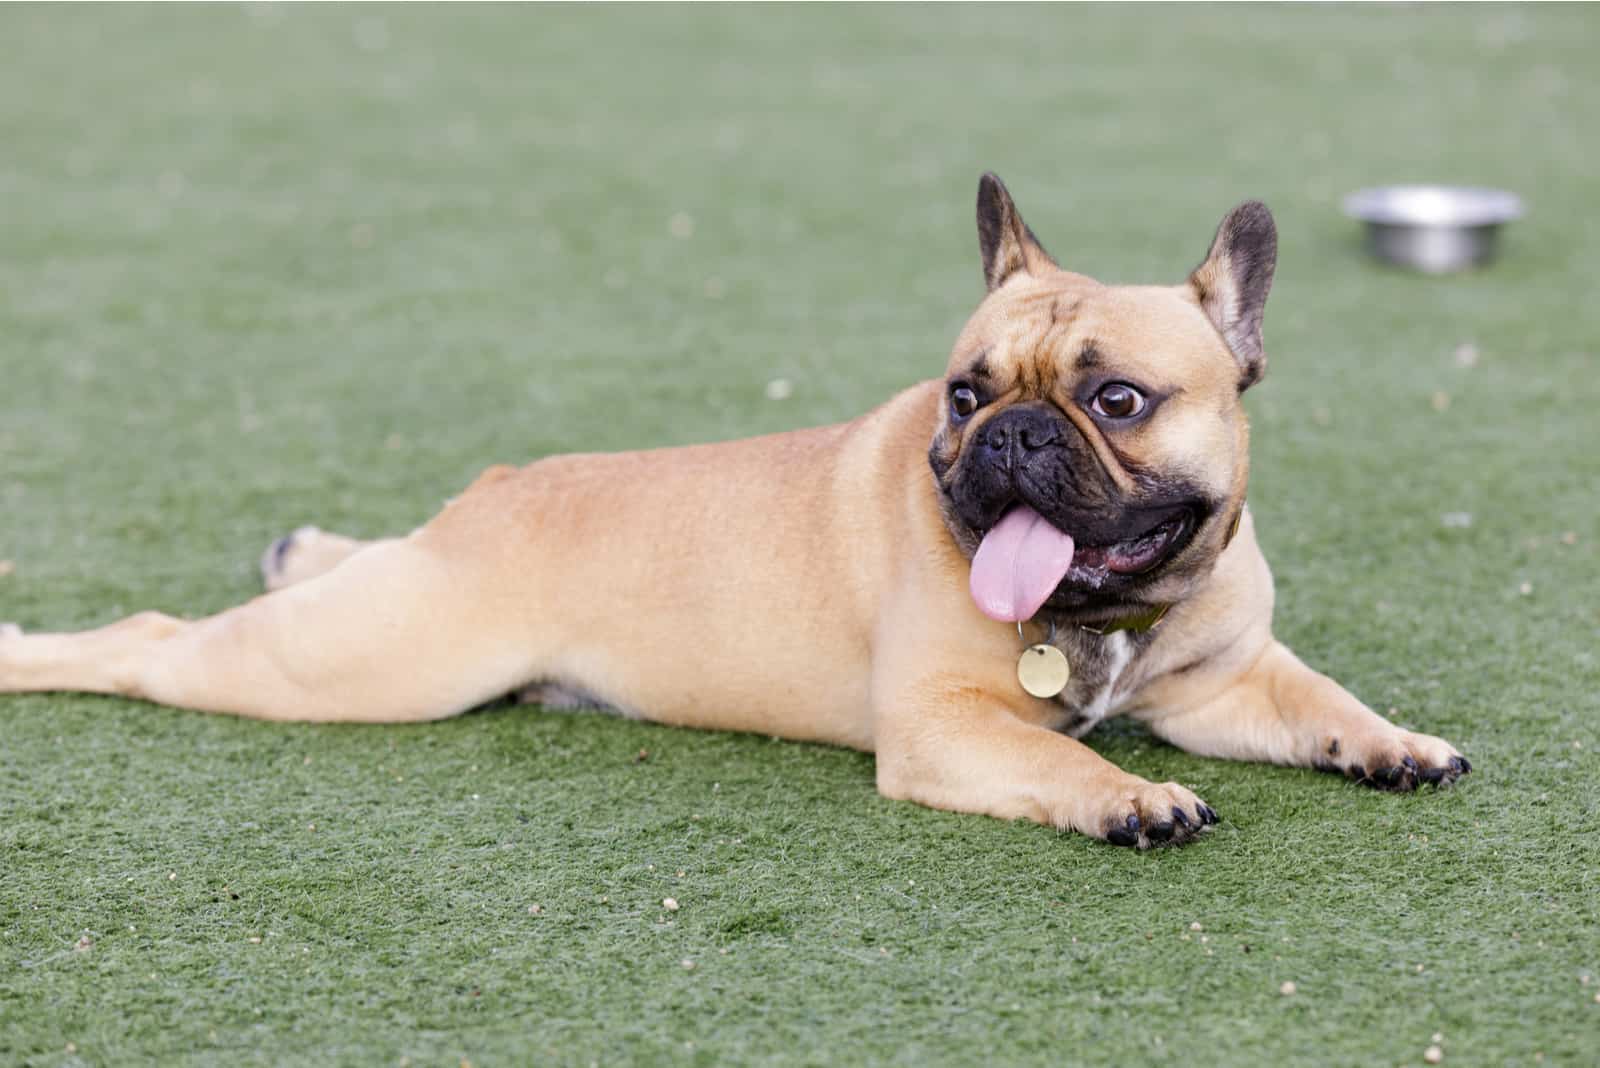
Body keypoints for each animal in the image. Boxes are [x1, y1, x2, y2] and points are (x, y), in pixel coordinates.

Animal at [0, 173, 1465, 844]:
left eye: (1115, 399)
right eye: (963, 392)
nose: (1010, 436)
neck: (1106, 619)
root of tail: (492, 502)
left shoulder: (1228, 681)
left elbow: (1319, 700)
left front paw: (1392, 742)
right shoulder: (942, 731)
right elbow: (1064, 760)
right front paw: (1130, 798)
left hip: (383, 605)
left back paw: (304, 544)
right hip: (361, 666)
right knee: (147, 644)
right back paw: (30, 656)